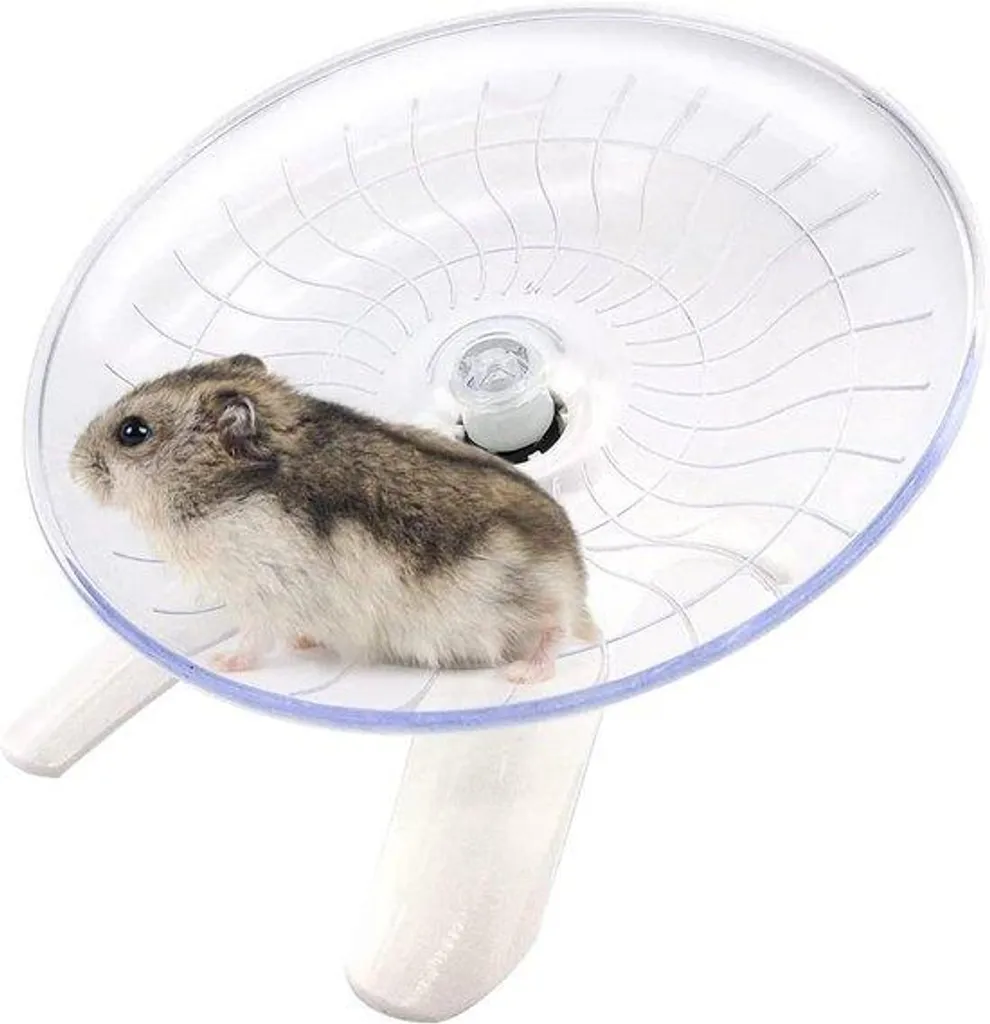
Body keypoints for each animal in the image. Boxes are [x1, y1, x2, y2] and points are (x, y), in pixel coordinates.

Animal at [71, 354, 598, 683]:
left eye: (133, 432)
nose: (73, 465)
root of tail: (576, 577)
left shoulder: (261, 596)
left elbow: (253, 640)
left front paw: (220, 661)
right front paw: (302, 644)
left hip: (526, 601)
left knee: (555, 630)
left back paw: (523, 674)